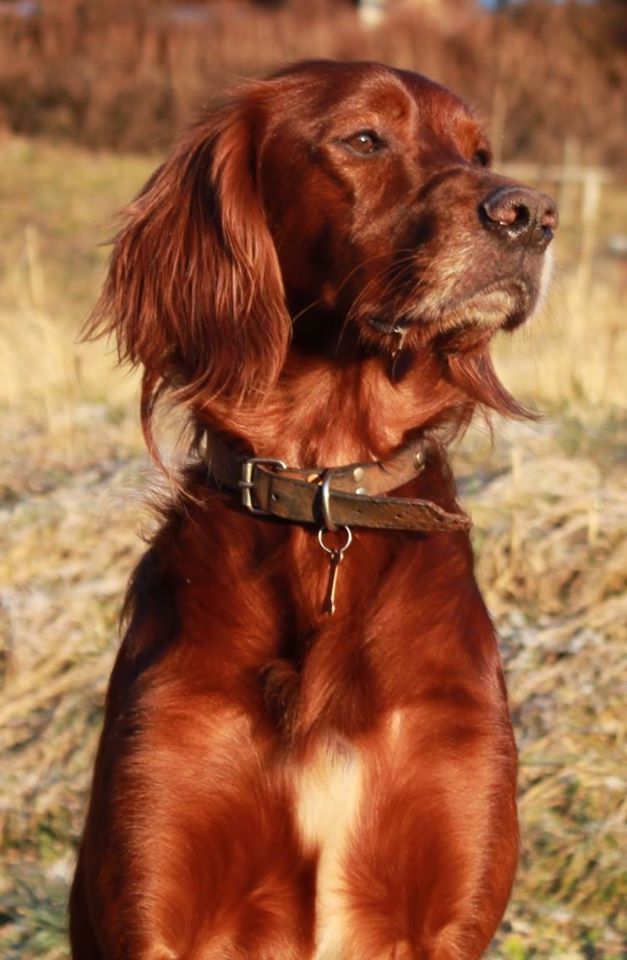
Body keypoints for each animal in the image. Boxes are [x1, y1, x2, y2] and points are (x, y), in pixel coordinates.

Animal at [70, 59, 557, 959]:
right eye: (363, 138)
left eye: (479, 152)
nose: (532, 215)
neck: (326, 485)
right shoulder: (152, 903)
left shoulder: (450, 906)